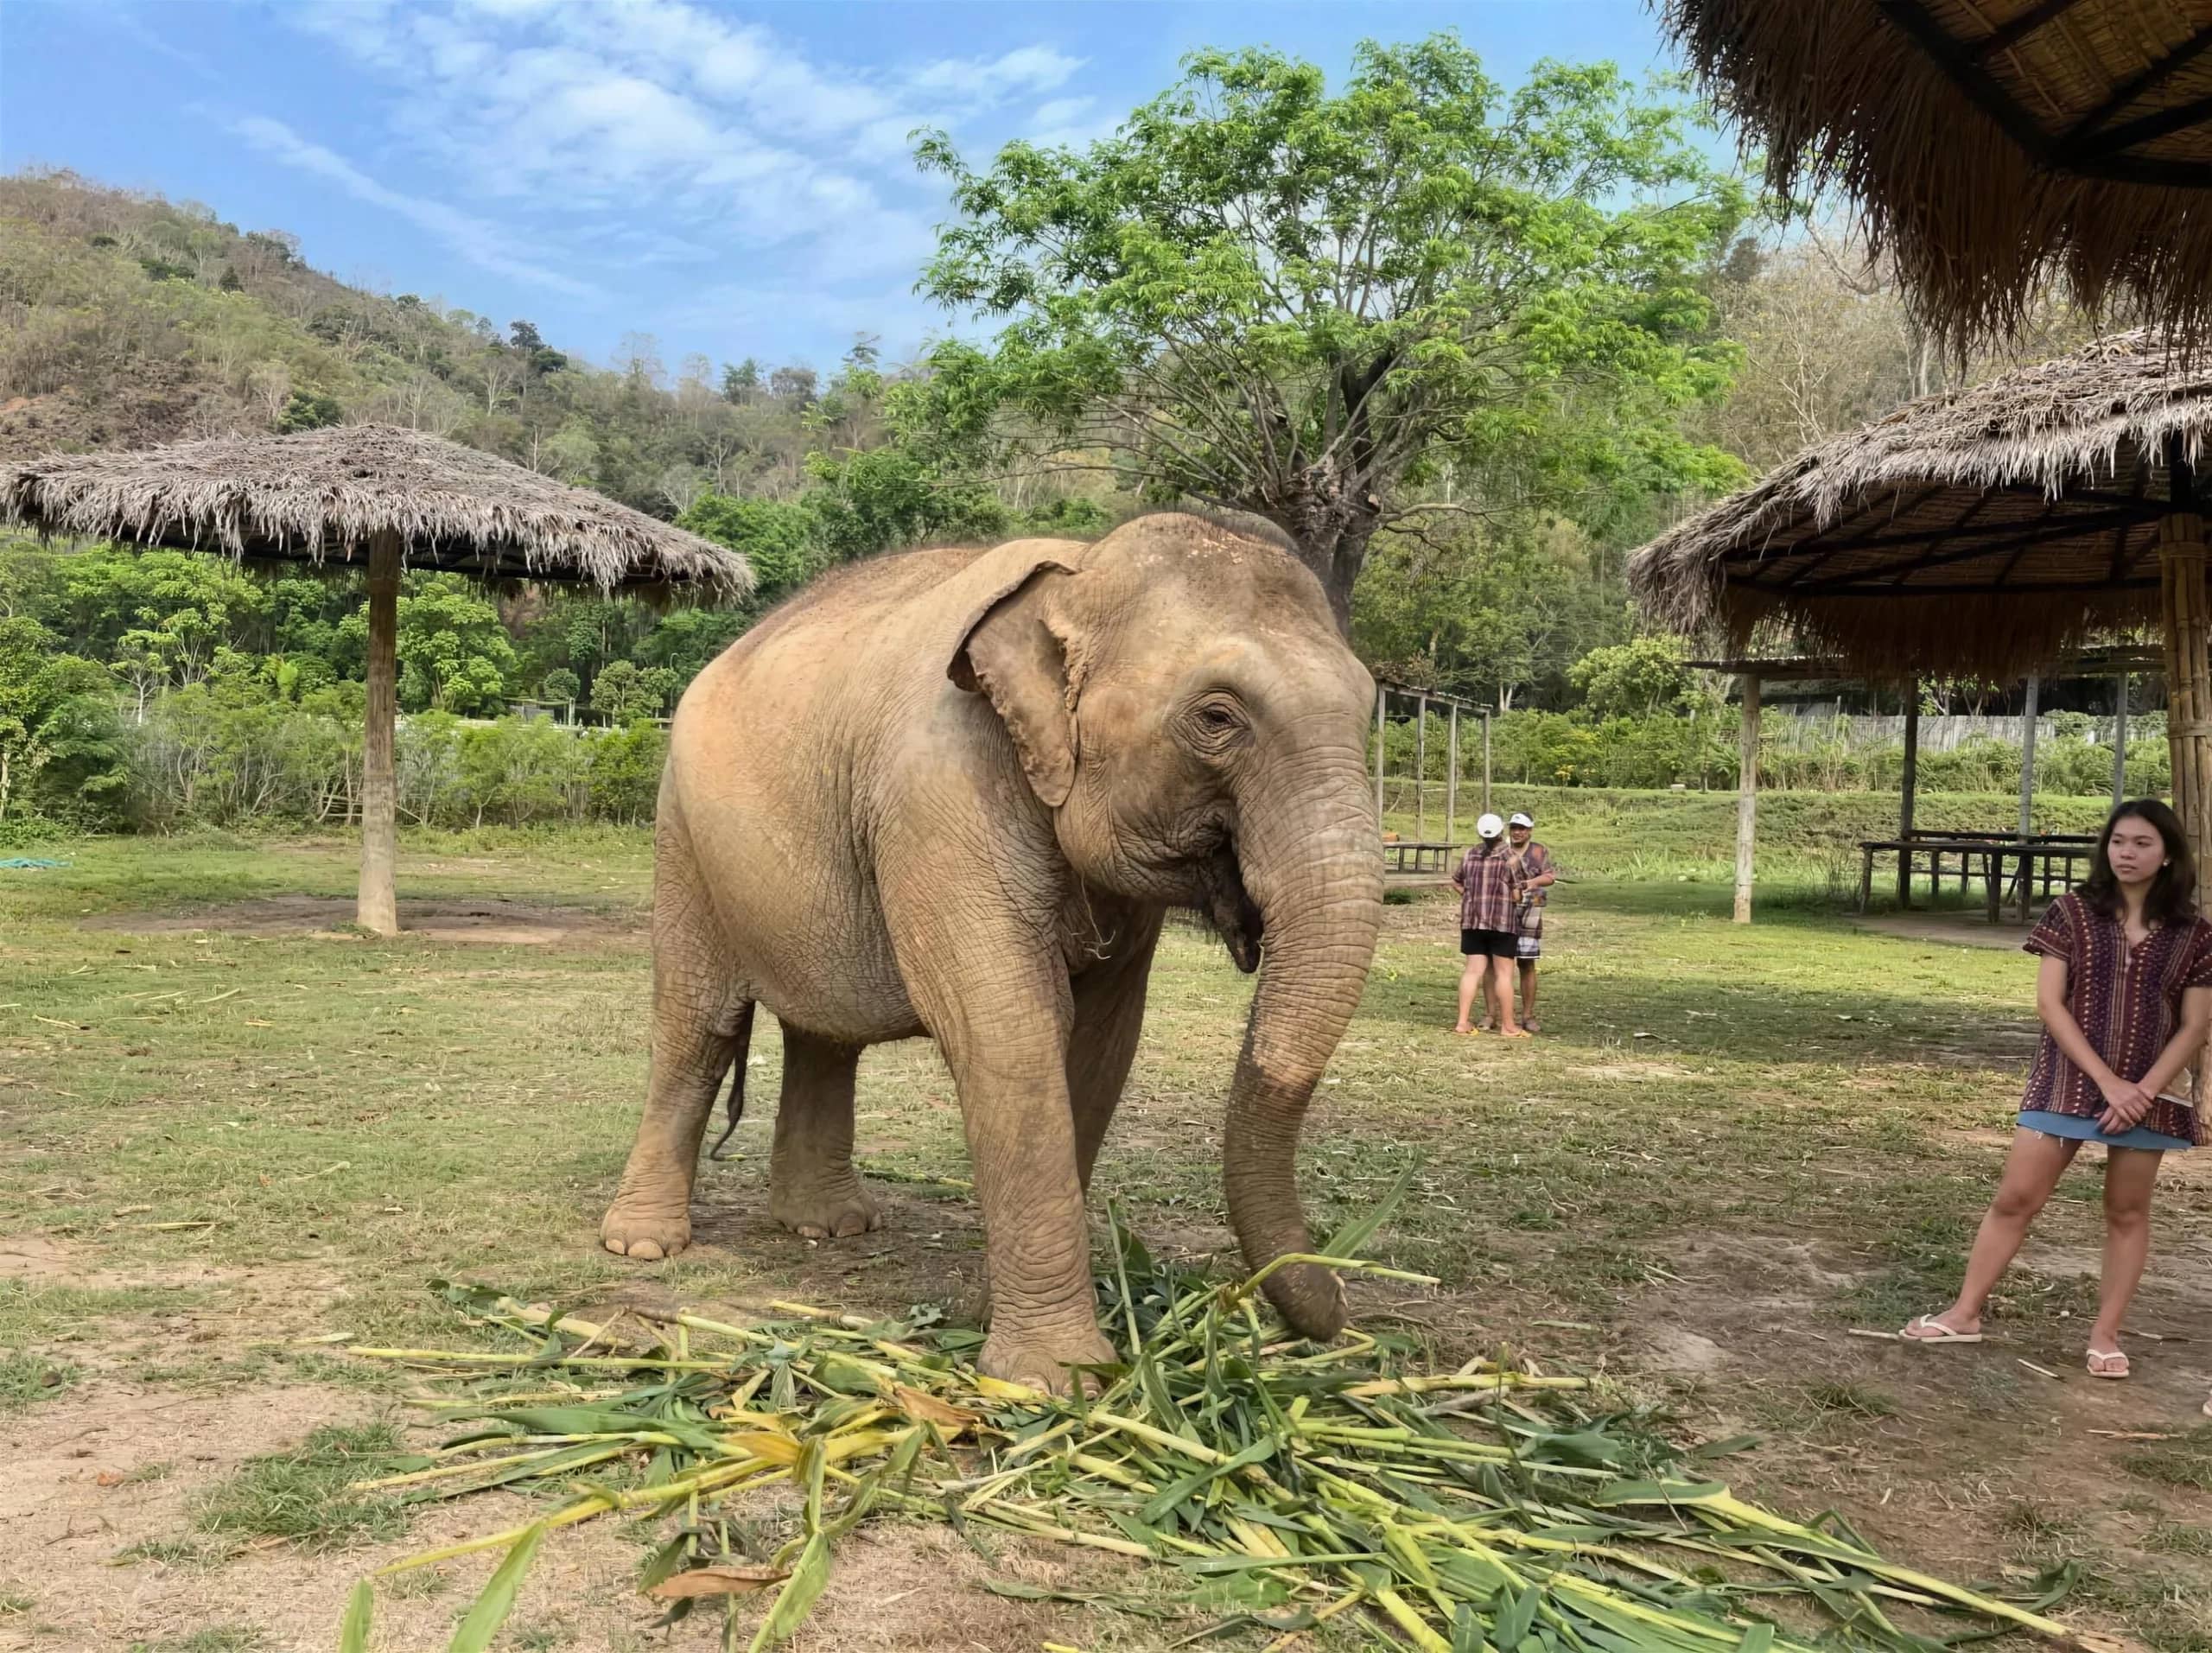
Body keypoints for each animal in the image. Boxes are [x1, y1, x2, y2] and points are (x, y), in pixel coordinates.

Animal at [599, 510, 1384, 1390]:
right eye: (1218, 717)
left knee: (823, 1035)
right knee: (698, 1025)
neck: (1080, 570)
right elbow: (1009, 1027)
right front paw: (1056, 1378)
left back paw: (830, 1228)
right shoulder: (941, 793)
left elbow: (1102, 1043)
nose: (1344, 1307)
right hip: (681, 835)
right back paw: (644, 1243)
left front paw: (983, 1312)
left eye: (1370, 709)